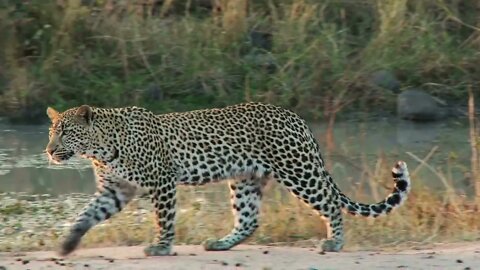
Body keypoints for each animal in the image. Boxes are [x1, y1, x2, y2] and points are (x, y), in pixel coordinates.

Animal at [45, 101, 410, 255]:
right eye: (52, 132)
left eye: (65, 132)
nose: (49, 151)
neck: (100, 147)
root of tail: (296, 117)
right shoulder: (115, 189)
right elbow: (86, 215)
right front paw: (67, 245)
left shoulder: (162, 182)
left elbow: (164, 219)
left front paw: (162, 247)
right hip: (245, 179)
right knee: (249, 220)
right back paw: (221, 244)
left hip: (298, 170)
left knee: (331, 202)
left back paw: (334, 242)